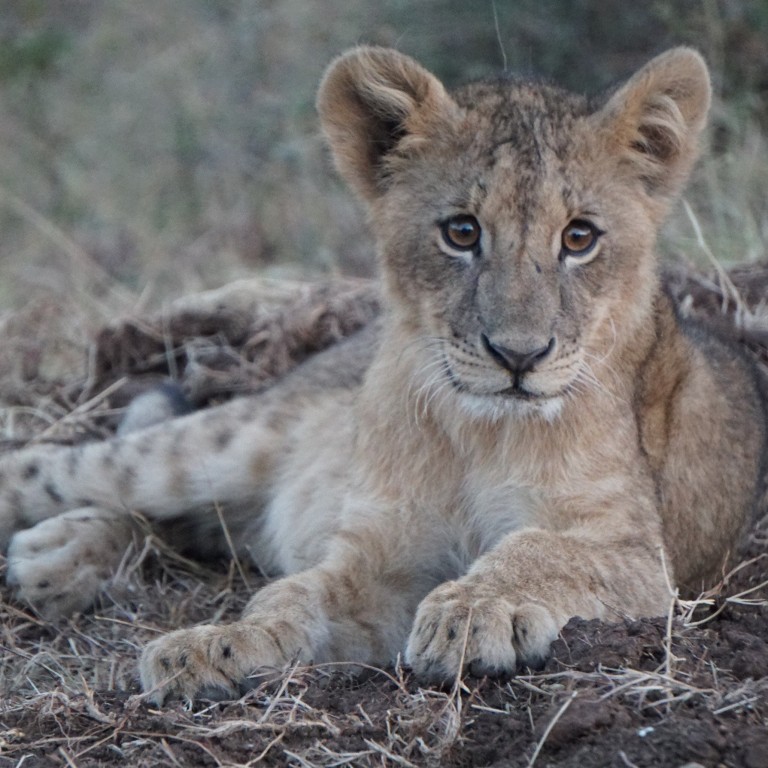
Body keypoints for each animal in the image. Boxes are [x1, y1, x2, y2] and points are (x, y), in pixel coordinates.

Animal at [2, 46, 765, 703]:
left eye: (580, 238)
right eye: (461, 232)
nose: (518, 357)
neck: (478, 431)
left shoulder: (644, 559)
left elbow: (541, 549)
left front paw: (472, 612)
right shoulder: (380, 553)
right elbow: (292, 596)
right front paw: (214, 645)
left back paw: (56, 559)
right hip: (226, 441)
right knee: (64, 469)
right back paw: (52, 551)